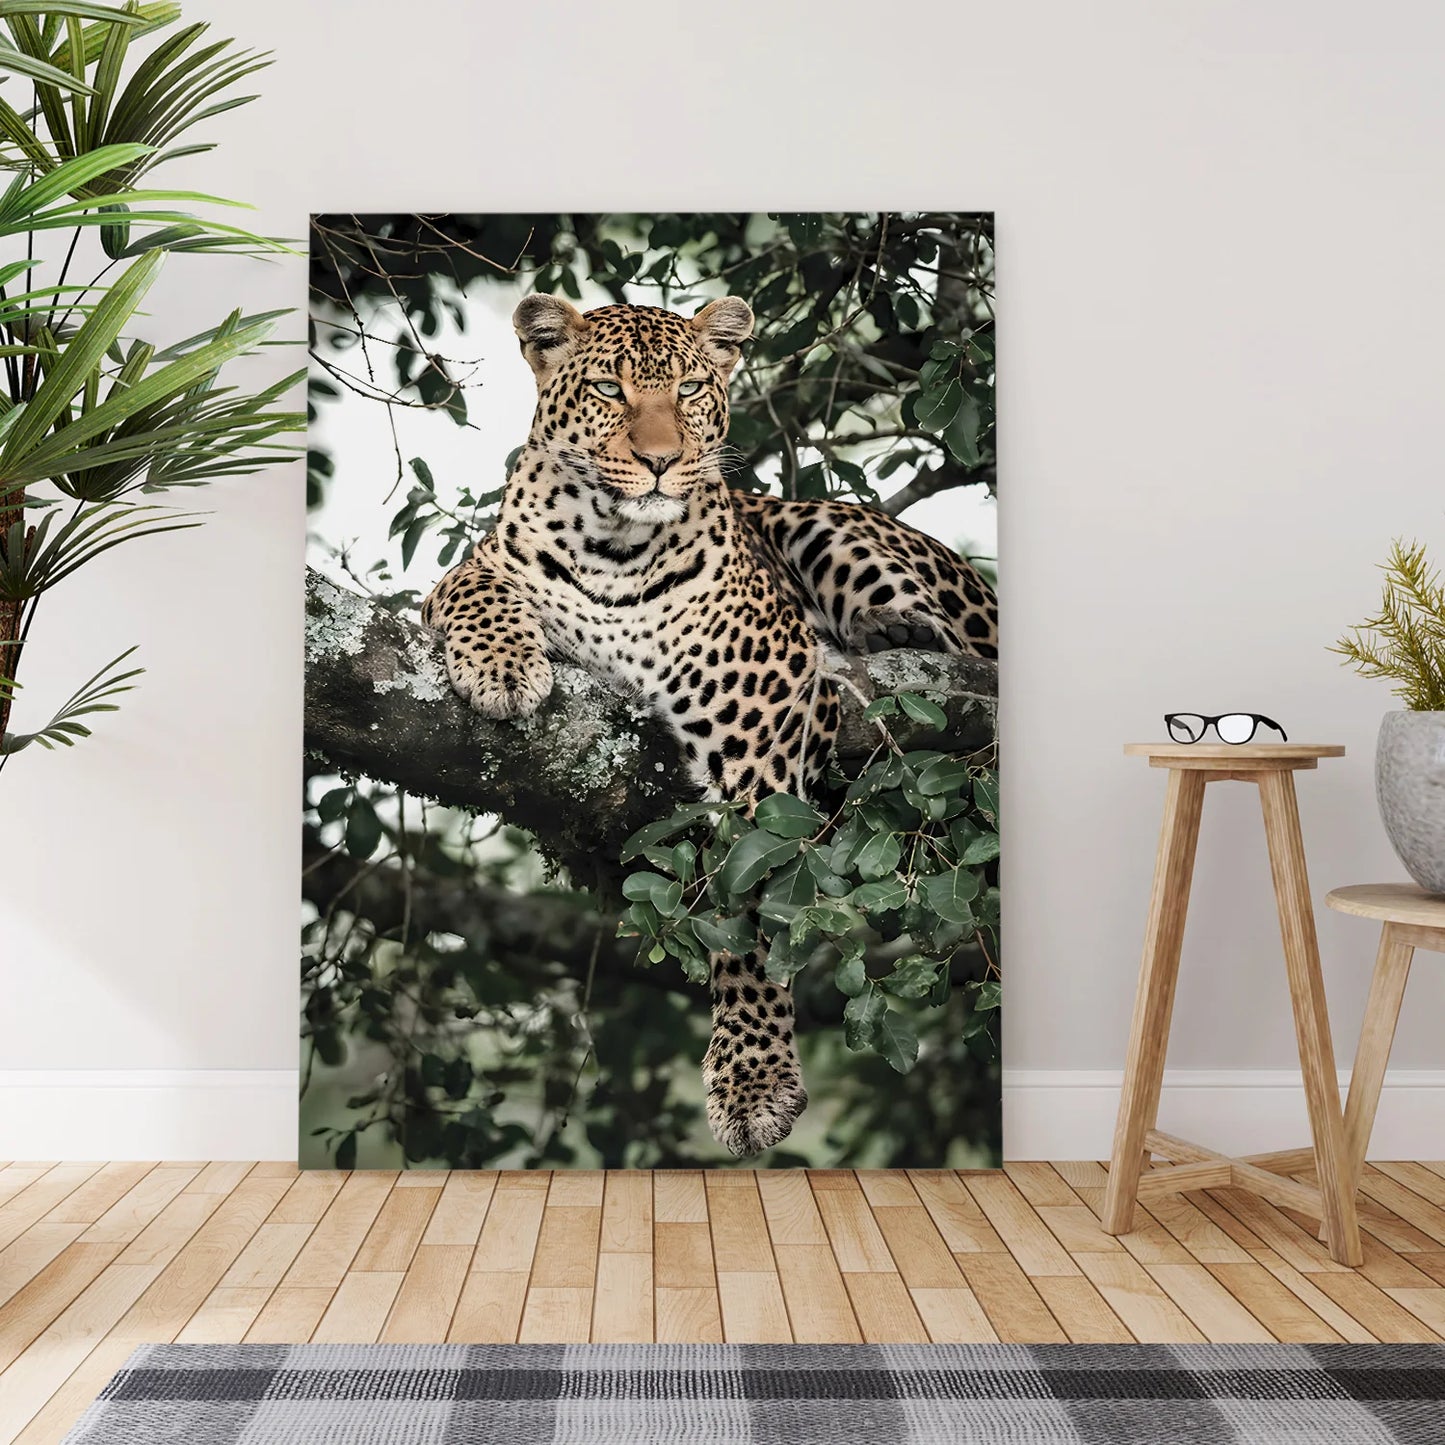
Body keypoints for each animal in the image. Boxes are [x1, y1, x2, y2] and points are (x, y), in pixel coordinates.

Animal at [421, 292, 998, 1157]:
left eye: (690, 388)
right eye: (608, 388)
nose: (662, 460)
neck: (614, 547)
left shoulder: (760, 709)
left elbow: (752, 900)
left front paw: (752, 1078)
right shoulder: (475, 570)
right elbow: (475, 586)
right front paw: (502, 668)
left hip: (824, 528)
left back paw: (889, 632)